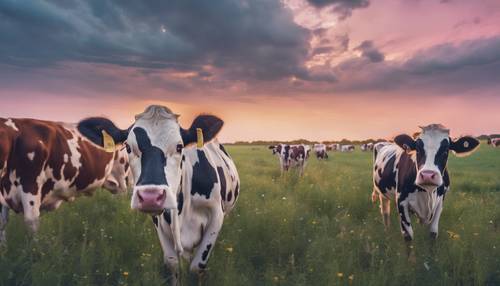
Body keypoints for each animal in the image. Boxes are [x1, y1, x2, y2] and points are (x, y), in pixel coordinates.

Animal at [76, 105, 240, 286]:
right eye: (128, 148)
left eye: (179, 147)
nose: (150, 197)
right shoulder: (159, 222)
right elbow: (172, 264)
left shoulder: (216, 216)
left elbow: (197, 266)